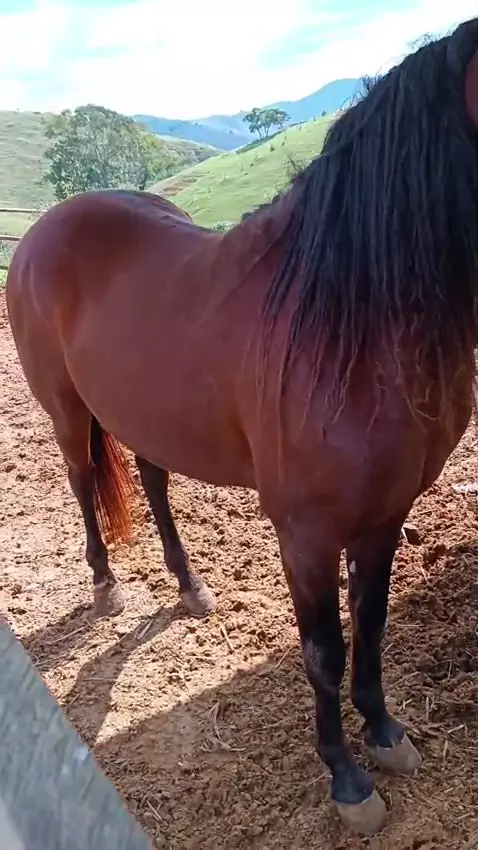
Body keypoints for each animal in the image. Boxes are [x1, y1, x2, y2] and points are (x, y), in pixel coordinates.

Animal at [6, 18, 478, 835]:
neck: (353, 319)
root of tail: (43, 230)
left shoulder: (386, 514)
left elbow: (372, 625)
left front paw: (387, 734)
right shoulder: (306, 533)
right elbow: (324, 651)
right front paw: (346, 780)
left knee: (154, 481)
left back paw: (191, 584)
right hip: (65, 410)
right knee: (81, 481)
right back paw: (105, 586)